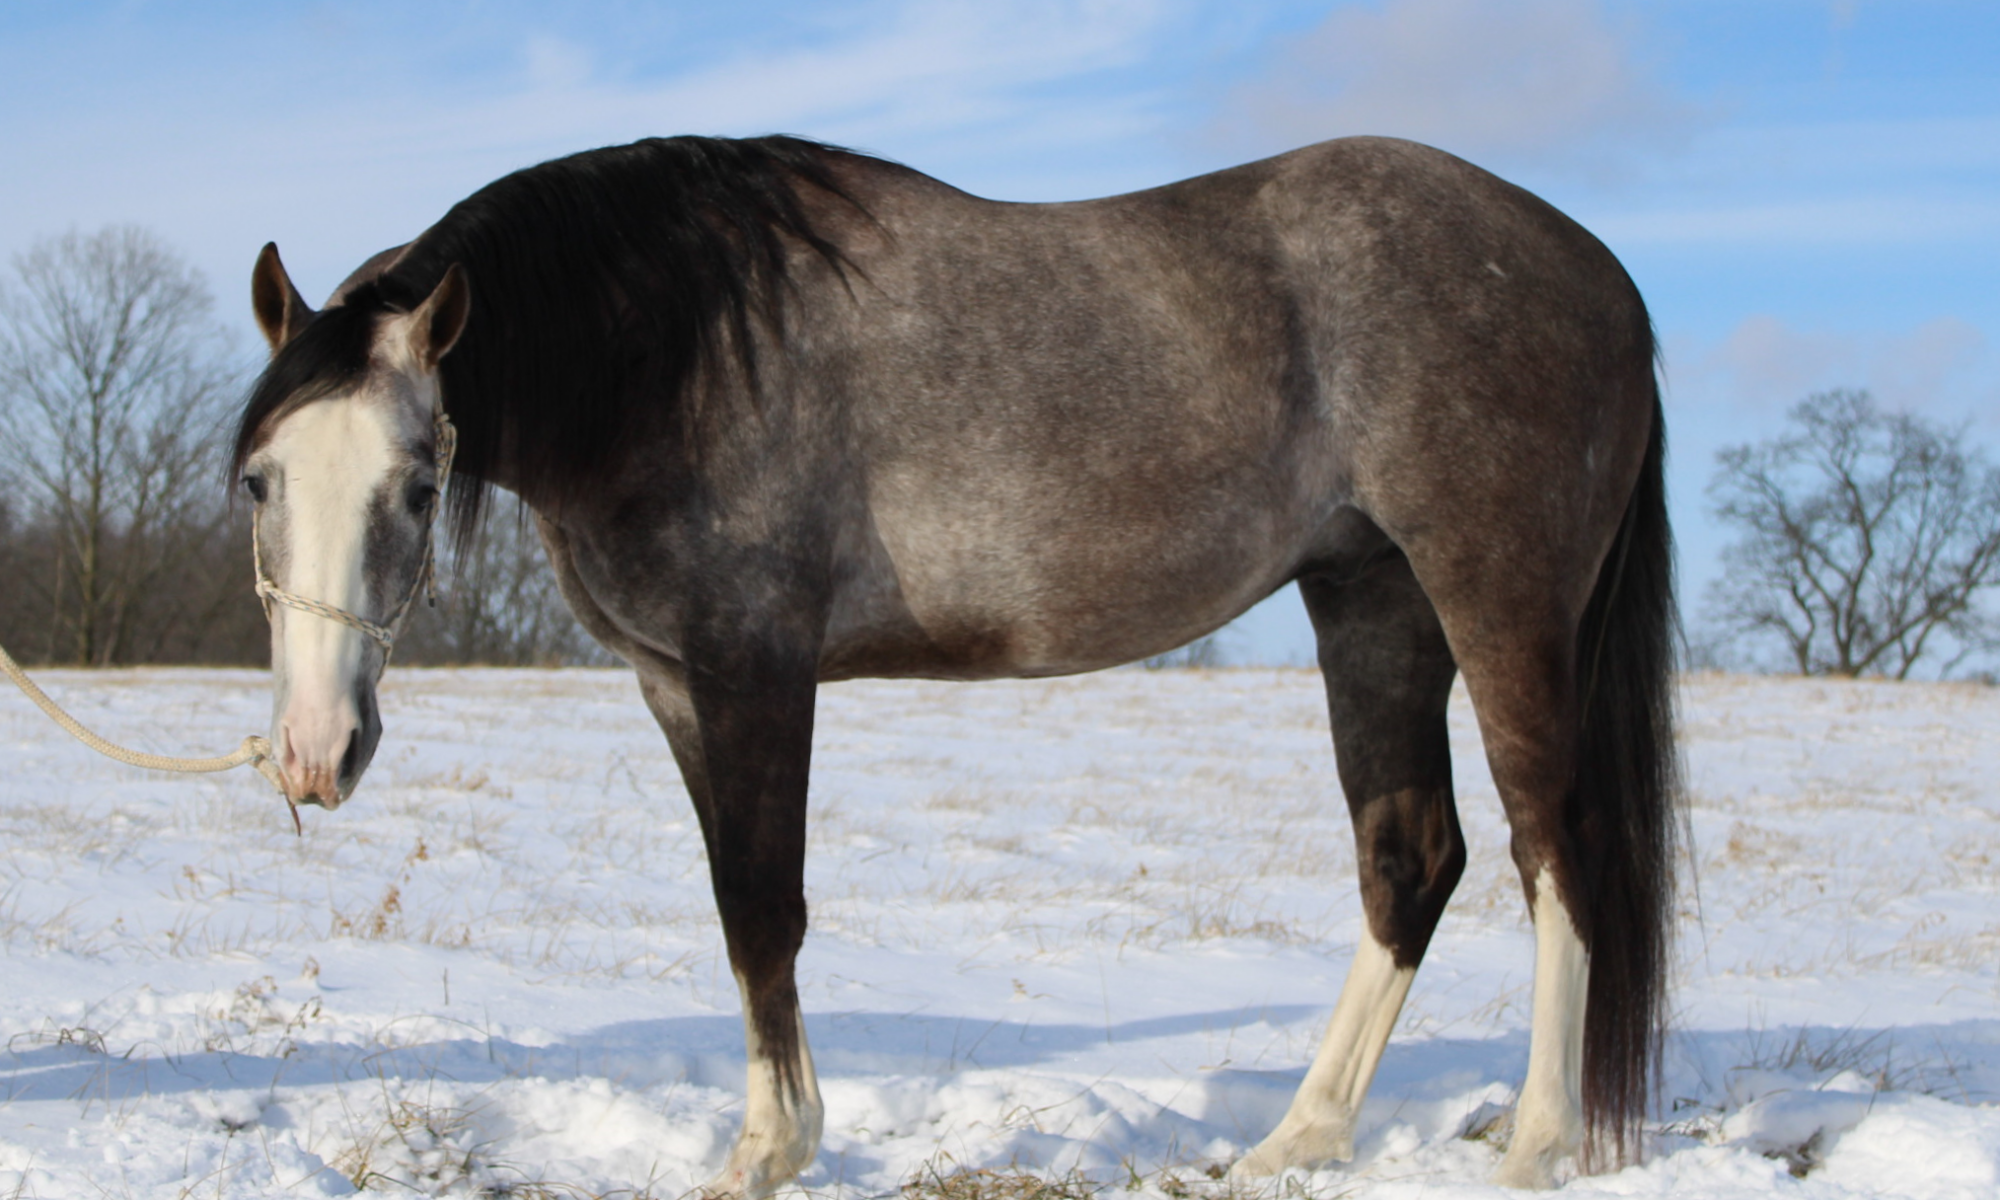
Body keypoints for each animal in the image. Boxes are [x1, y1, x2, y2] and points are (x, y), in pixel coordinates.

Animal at [232, 134, 1677, 1194]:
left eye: (417, 487)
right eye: (258, 481)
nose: (313, 753)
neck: (673, 354)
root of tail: (1599, 273)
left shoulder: (756, 670)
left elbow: (766, 906)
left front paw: (770, 1153)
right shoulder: (673, 683)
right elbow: (737, 912)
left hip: (1495, 601)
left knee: (1555, 845)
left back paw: (1537, 1144)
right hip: (1373, 603)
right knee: (1410, 856)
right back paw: (1296, 1141)